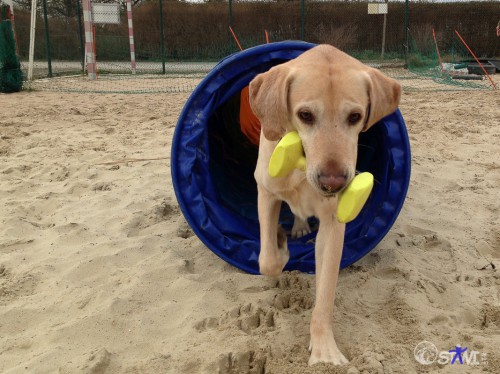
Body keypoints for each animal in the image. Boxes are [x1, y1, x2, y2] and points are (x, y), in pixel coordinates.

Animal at [250, 45, 402, 366]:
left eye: (355, 116)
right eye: (305, 115)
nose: (333, 182)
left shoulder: (333, 225)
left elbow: (325, 294)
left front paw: (324, 350)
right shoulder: (265, 191)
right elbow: (267, 260)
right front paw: (281, 247)